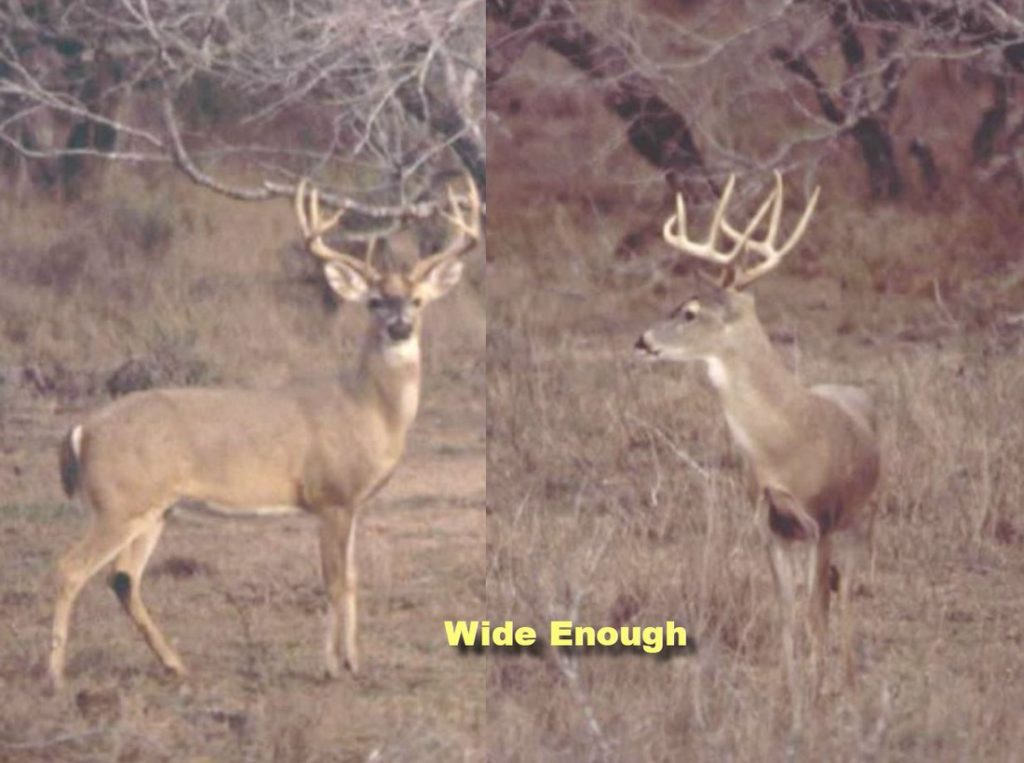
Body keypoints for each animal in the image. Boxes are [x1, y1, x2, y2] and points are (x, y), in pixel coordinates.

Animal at [48, 178, 480, 690]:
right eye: (375, 302)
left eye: (417, 301)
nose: (400, 327)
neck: (367, 409)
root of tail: (82, 429)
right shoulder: (330, 496)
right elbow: (334, 580)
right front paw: (332, 666)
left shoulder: (351, 502)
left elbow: (352, 579)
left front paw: (354, 662)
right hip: (120, 504)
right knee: (69, 568)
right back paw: (54, 675)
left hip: (153, 509)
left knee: (122, 578)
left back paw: (176, 664)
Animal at [633, 171, 880, 725]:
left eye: (690, 311)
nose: (642, 340)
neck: (783, 448)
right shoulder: (770, 523)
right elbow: (786, 609)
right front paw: (791, 703)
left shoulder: (822, 519)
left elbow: (816, 612)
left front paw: (818, 701)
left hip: (864, 517)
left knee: (848, 596)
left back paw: (852, 687)